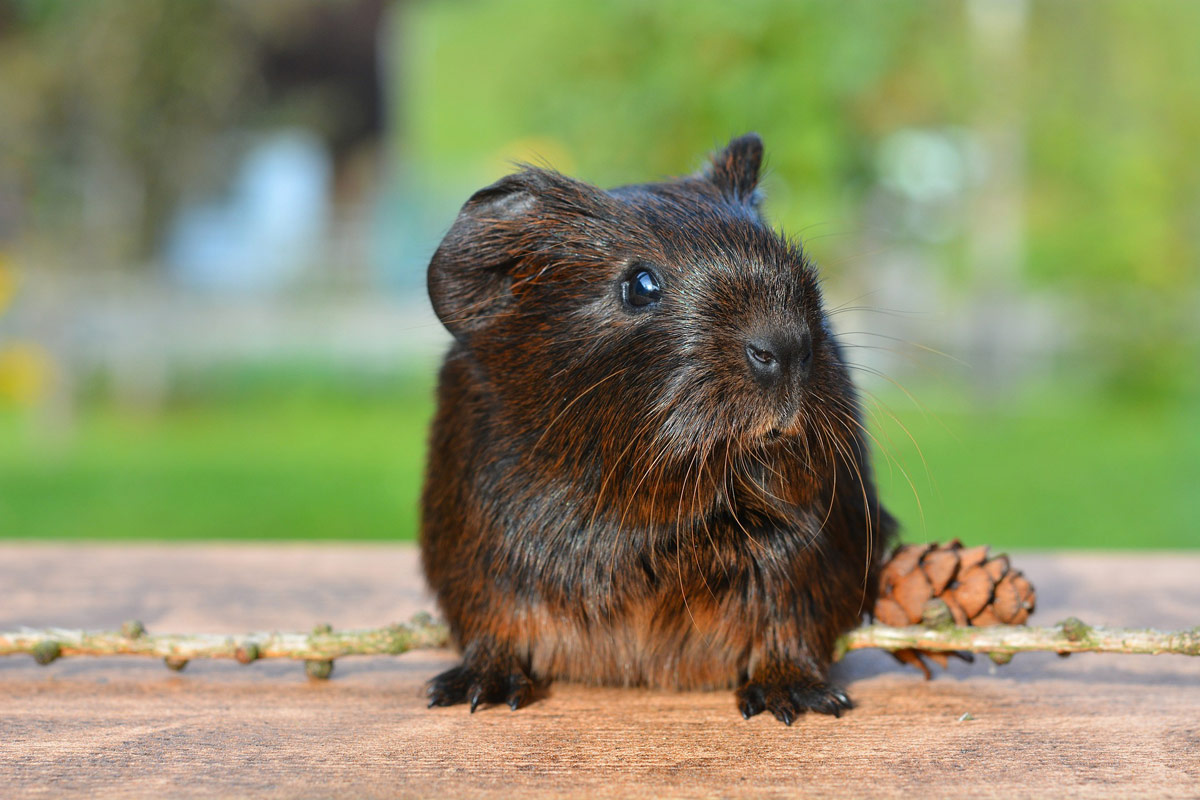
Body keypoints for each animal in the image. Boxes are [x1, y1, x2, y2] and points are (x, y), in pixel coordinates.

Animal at [420, 133, 895, 724]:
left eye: (786, 255)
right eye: (641, 285)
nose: (785, 346)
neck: (645, 522)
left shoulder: (809, 553)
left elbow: (789, 622)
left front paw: (795, 702)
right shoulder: (484, 555)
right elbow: (493, 624)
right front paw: (475, 691)